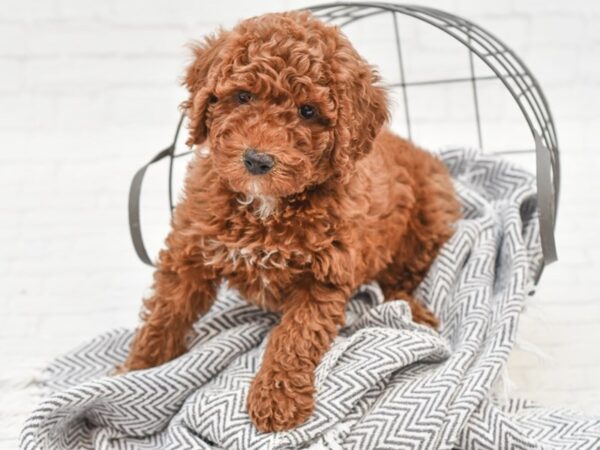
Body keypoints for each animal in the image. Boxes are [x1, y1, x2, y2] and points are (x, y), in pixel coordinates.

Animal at [122, 10, 460, 432]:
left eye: (308, 112)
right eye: (243, 96)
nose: (257, 160)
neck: (267, 206)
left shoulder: (324, 275)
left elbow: (295, 336)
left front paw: (276, 398)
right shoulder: (191, 250)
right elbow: (165, 314)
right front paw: (136, 369)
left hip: (431, 217)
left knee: (401, 280)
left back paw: (412, 311)